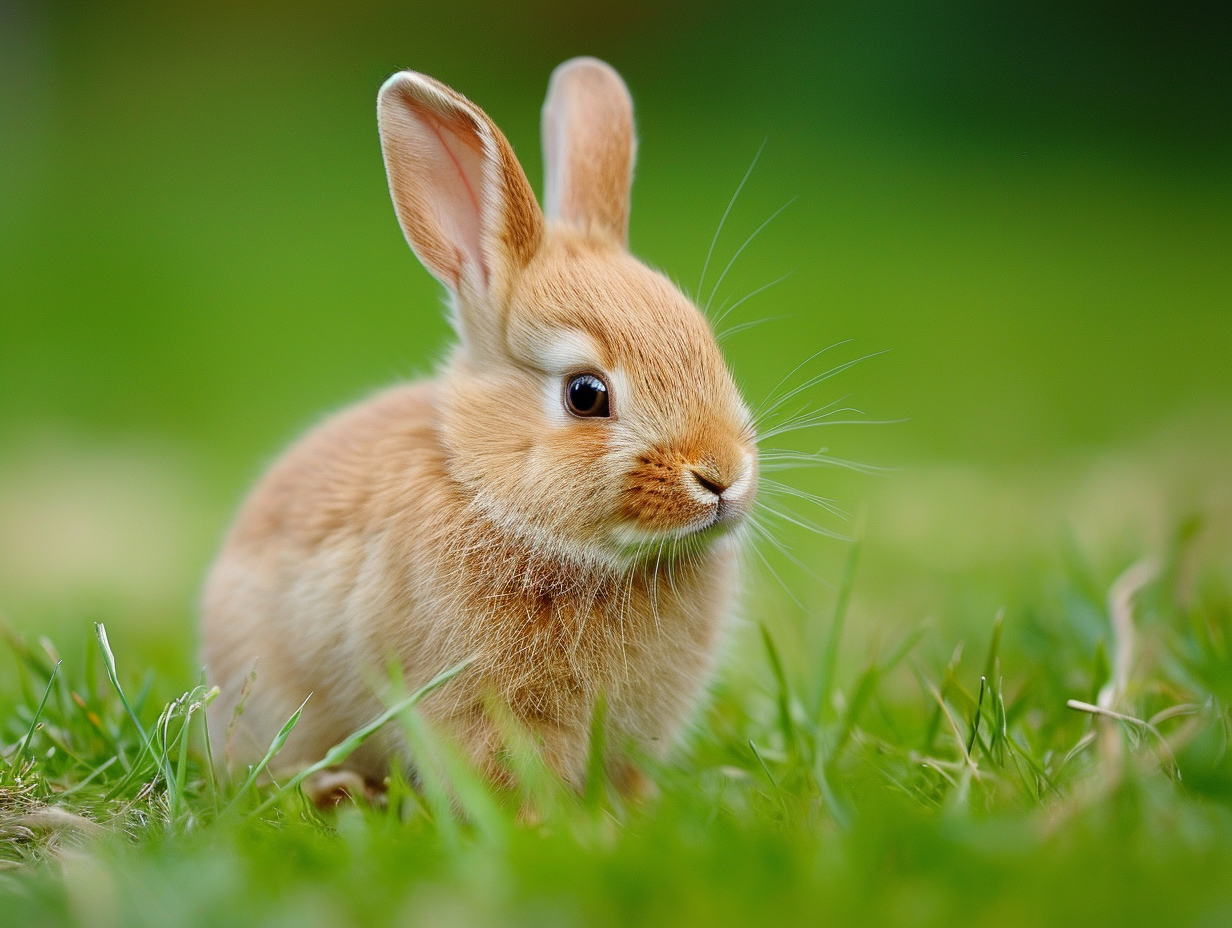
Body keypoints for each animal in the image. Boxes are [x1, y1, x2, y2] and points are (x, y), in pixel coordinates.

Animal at [201, 57, 758, 799]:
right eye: (586, 394)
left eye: (708, 348)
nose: (722, 477)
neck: (487, 493)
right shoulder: (480, 708)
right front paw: (541, 821)